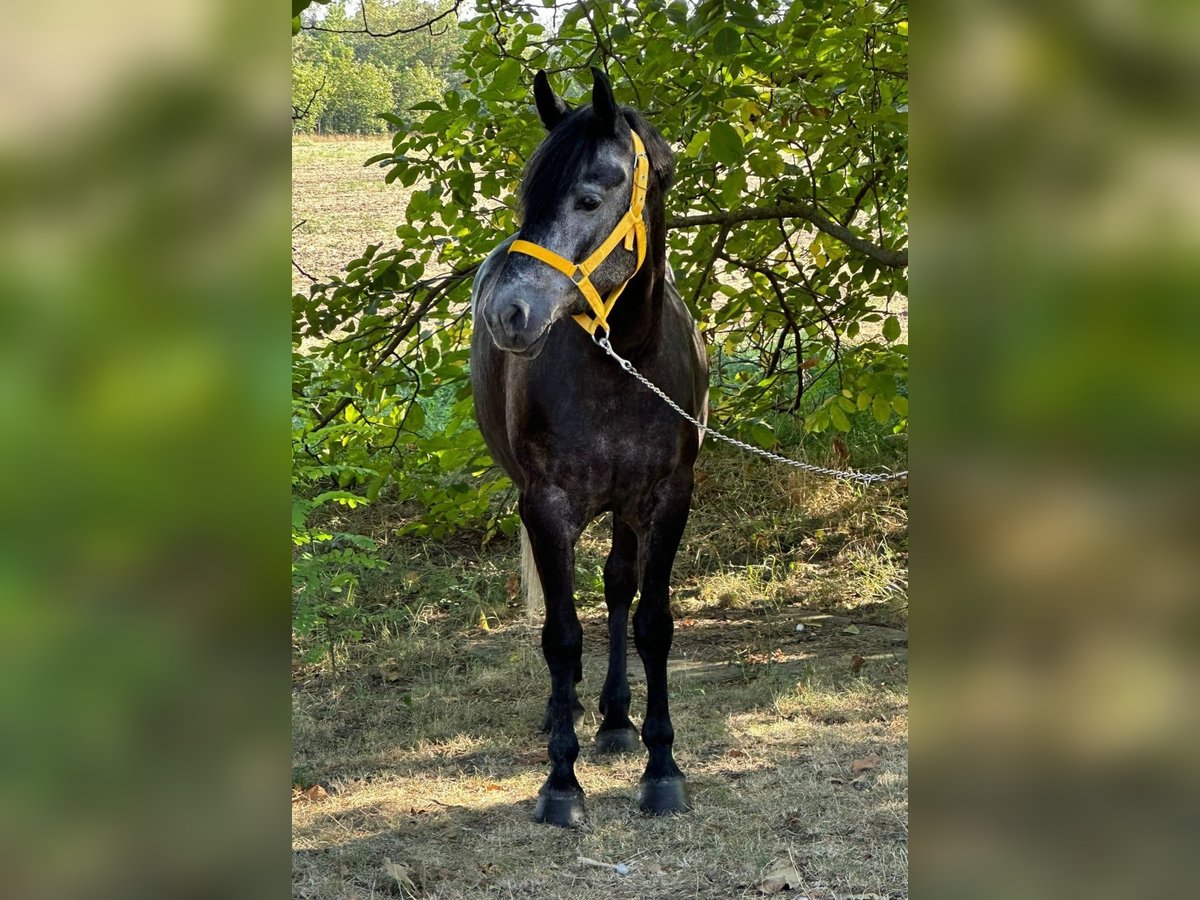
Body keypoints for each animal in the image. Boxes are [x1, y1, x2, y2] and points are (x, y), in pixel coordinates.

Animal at [468, 68, 705, 830]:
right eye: (528, 197)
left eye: (590, 198)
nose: (507, 313)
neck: (624, 359)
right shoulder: (546, 507)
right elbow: (561, 634)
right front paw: (561, 783)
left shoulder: (666, 499)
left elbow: (652, 621)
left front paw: (661, 768)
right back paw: (565, 710)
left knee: (618, 588)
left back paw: (615, 720)